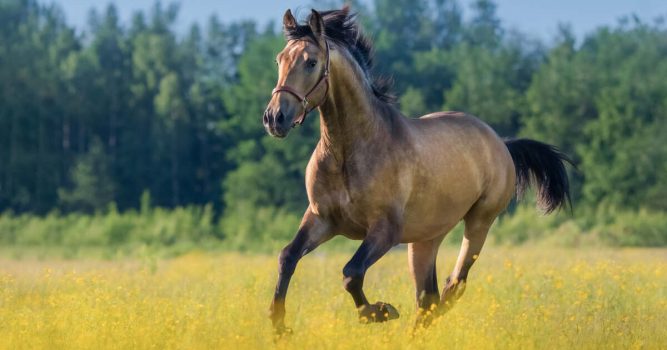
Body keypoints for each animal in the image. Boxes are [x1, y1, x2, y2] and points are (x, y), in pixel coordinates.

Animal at [264, 6, 572, 334]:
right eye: (279, 59)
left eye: (311, 62)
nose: (274, 118)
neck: (349, 151)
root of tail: (501, 143)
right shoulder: (321, 219)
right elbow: (287, 257)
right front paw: (280, 326)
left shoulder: (384, 230)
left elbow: (351, 272)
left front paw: (380, 311)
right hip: (425, 239)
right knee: (428, 298)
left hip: (479, 222)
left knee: (453, 286)